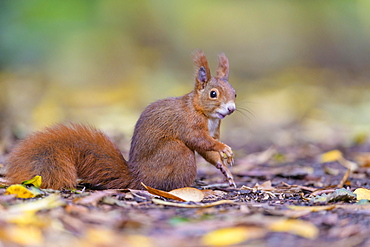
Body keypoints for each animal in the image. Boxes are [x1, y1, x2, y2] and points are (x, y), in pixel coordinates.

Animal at [6, 51, 237, 191]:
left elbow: (207, 152)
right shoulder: (188, 124)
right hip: (176, 152)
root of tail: (137, 177)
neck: (204, 113)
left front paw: (225, 169)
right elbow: (199, 140)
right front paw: (224, 148)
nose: (231, 109)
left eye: (235, 93)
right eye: (213, 94)